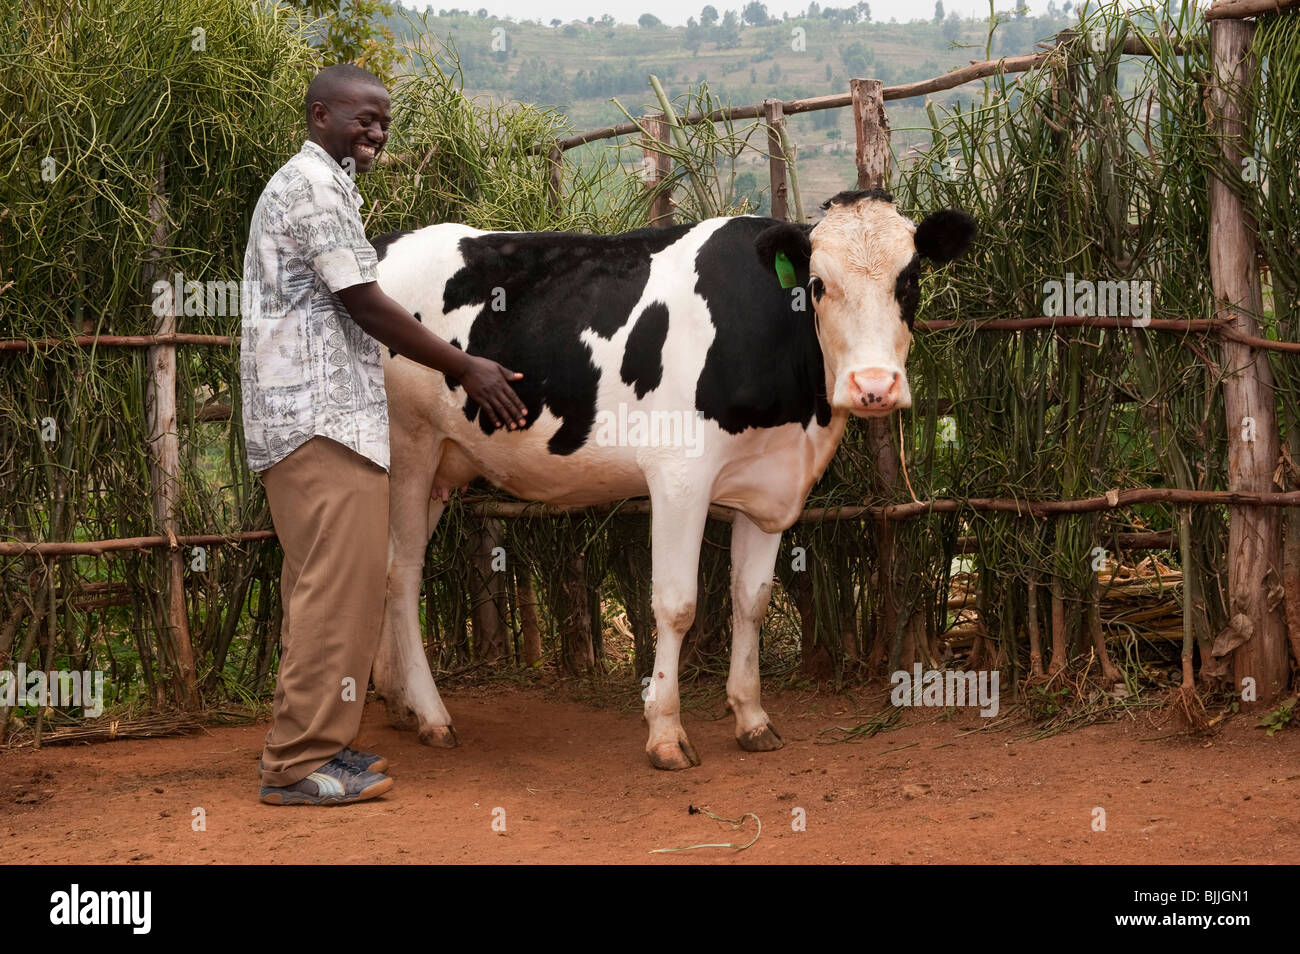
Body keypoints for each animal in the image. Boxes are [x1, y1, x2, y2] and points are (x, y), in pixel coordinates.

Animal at [368, 188, 976, 770]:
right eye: (819, 284)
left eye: (910, 280)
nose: (873, 385)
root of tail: (381, 242)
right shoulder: (679, 476)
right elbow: (677, 604)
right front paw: (665, 734)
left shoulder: (769, 489)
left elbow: (750, 600)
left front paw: (752, 719)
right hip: (409, 447)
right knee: (401, 573)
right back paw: (431, 714)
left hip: (441, 463)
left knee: (393, 565)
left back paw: (398, 700)